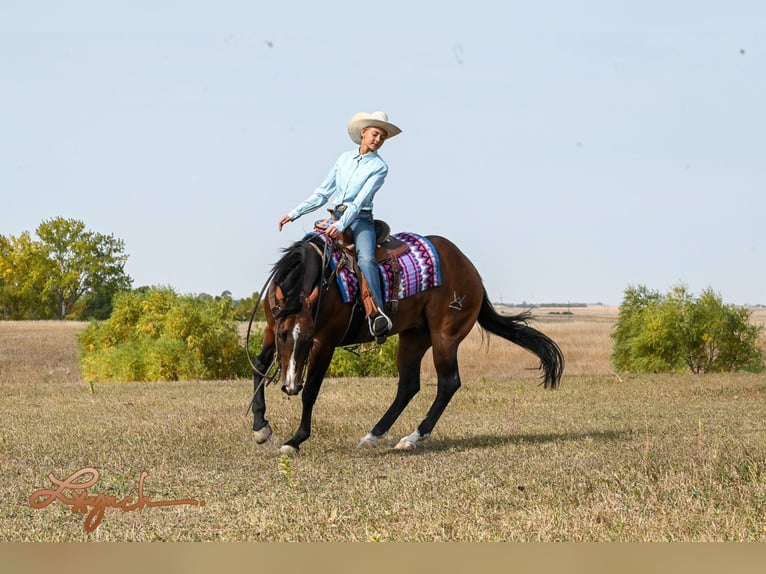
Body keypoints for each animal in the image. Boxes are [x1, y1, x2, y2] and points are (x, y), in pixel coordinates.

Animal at [249, 230, 568, 454]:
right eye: (283, 335)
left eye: (306, 336)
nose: (290, 385)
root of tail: (470, 269)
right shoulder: (269, 329)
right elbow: (260, 366)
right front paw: (260, 427)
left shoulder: (324, 343)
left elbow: (311, 392)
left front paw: (295, 440)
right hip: (414, 336)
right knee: (408, 386)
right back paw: (374, 435)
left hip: (444, 337)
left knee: (448, 383)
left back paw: (413, 437)